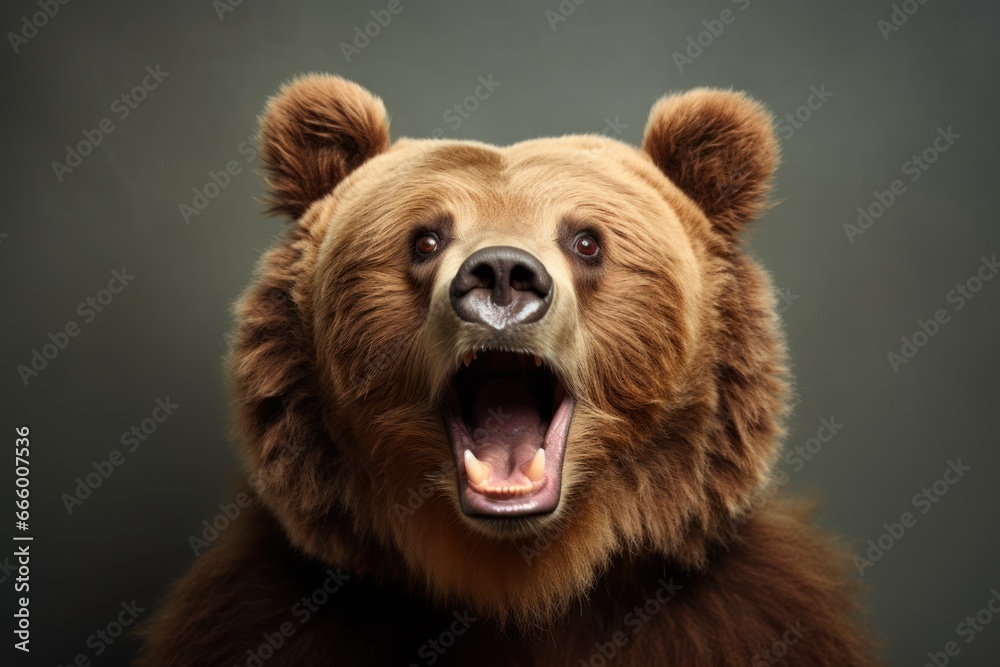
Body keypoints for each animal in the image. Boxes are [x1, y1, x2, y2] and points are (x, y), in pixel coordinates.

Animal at [138, 75, 880, 666]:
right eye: (425, 238)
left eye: (587, 240)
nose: (500, 273)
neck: (519, 582)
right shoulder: (274, 616)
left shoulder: (733, 618)